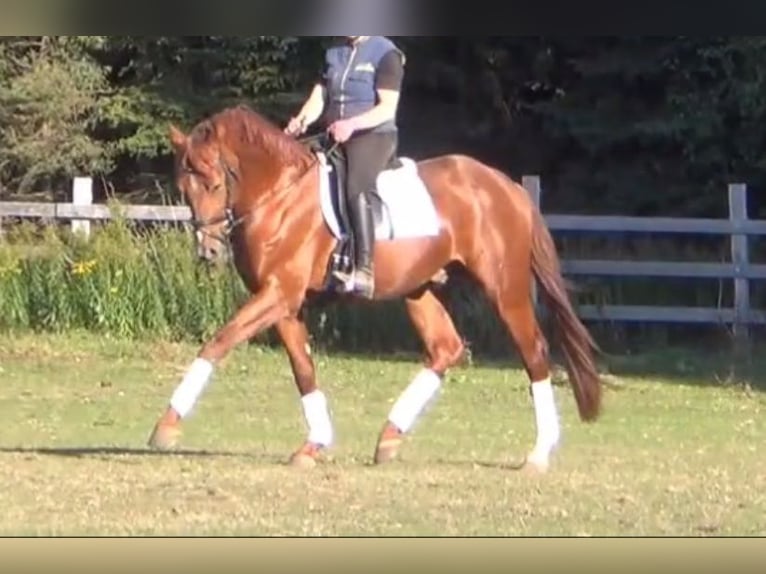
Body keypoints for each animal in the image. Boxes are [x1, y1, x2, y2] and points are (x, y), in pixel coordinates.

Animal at [146, 103, 602, 473]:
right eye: (184, 188)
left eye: (214, 183)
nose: (208, 250)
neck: (280, 197)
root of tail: (506, 187)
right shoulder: (285, 303)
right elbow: (303, 369)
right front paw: (313, 445)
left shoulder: (278, 294)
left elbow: (218, 342)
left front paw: (165, 427)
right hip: (418, 288)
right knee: (446, 348)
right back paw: (389, 438)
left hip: (504, 289)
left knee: (534, 353)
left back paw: (539, 454)